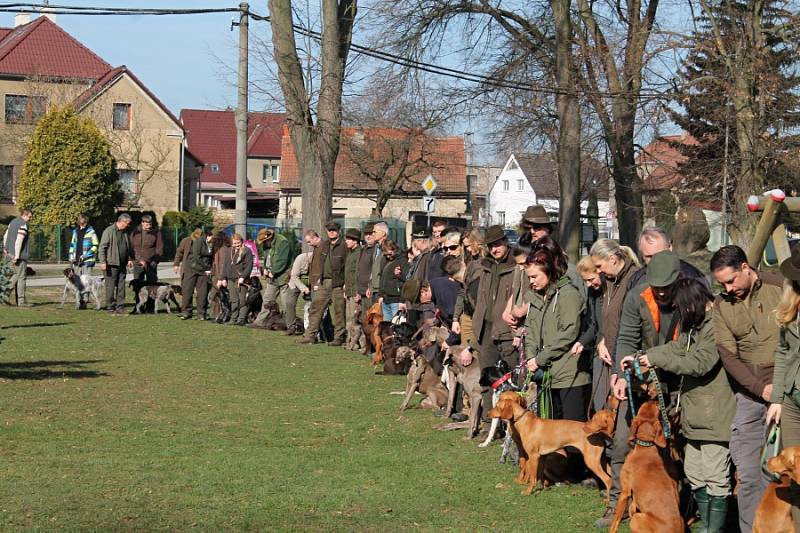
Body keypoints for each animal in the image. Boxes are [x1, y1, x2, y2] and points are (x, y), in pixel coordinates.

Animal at [612, 400, 680, 532]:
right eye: (657, 408)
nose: (653, 399)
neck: (646, 446)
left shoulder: (625, 491)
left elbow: (615, 521)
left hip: (637, 518)